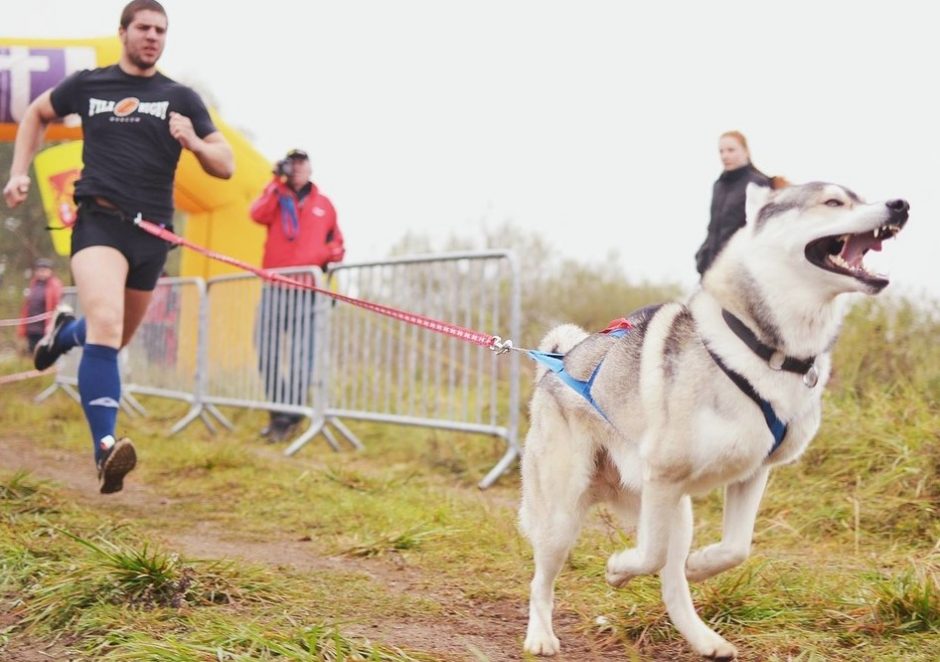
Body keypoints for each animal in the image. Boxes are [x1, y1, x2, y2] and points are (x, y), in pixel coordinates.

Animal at [520, 182, 912, 660]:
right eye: (834, 202)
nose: (900, 205)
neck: (767, 350)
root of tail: (556, 363)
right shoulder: (663, 476)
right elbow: (649, 554)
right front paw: (617, 568)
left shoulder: (753, 472)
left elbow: (735, 549)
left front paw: (701, 565)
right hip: (565, 515)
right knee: (542, 580)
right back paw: (541, 635)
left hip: (675, 511)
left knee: (673, 585)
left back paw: (705, 640)